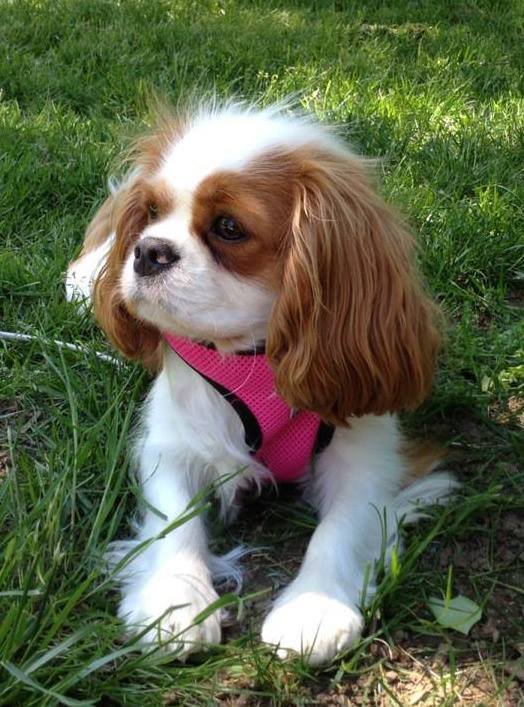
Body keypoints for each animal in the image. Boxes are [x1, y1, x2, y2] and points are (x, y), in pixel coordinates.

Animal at [66, 102, 454, 668]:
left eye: (228, 227)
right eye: (151, 211)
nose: (147, 250)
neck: (252, 357)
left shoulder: (370, 451)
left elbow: (342, 525)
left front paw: (314, 606)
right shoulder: (169, 442)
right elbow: (174, 517)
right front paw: (175, 599)